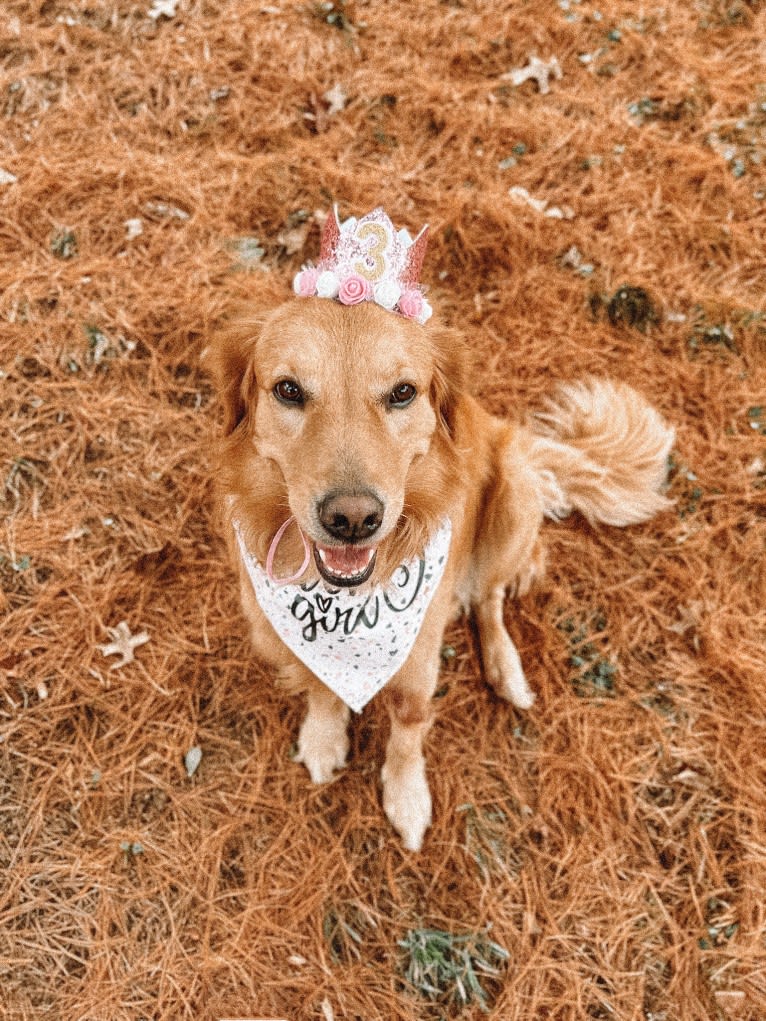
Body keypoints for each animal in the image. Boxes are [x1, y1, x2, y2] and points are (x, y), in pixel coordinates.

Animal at [207, 205, 674, 845]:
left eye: (403, 392)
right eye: (288, 390)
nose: (352, 519)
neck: (346, 604)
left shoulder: (419, 652)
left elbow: (409, 722)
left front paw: (407, 796)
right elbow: (322, 688)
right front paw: (324, 738)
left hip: (513, 493)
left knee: (490, 597)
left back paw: (505, 666)